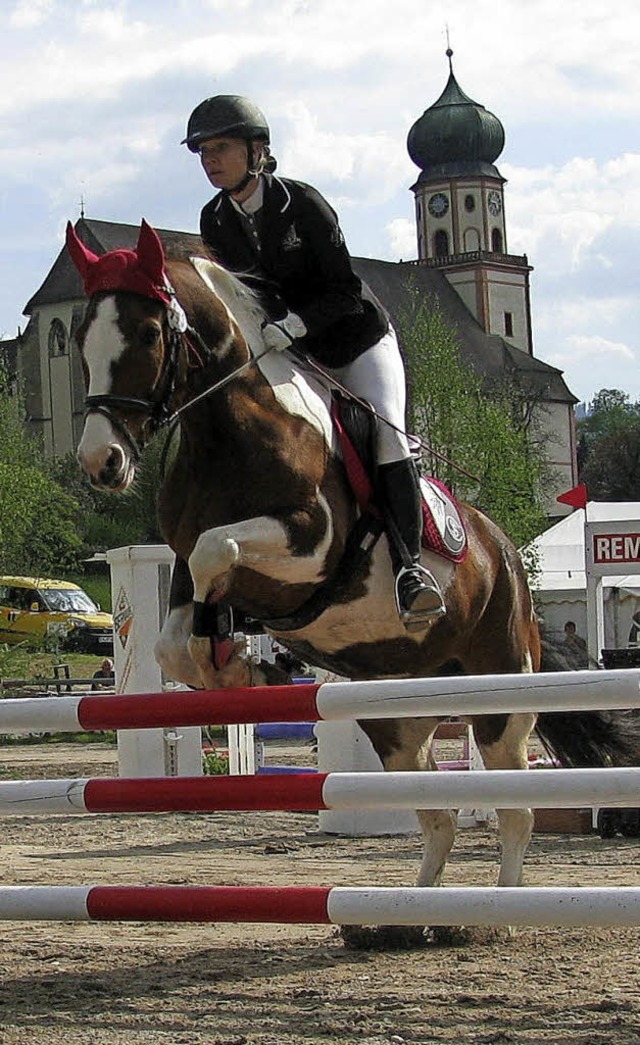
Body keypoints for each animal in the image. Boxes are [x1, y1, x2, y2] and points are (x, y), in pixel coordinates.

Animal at [67, 220, 640, 940]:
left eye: (147, 333)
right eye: (78, 338)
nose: (102, 461)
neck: (230, 432)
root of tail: (505, 552)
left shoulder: (309, 542)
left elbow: (213, 552)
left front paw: (243, 661)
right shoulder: (190, 562)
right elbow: (177, 632)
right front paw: (245, 667)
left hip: (500, 699)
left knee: (514, 809)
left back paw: (496, 916)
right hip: (394, 719)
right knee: (438, 815)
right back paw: (408, 920)